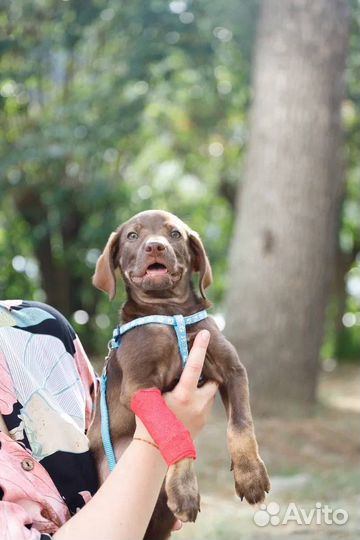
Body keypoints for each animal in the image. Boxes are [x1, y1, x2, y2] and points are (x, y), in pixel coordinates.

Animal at [88, 210, 270, 540]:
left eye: (174, 234)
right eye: (132, 236)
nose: (155, 246)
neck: (170, 311)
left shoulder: (233, 369)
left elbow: (241, 424)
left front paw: (250, 475)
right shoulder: (141, 387)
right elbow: (174, 429)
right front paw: (185, 491)